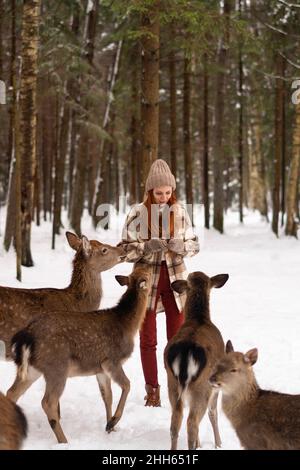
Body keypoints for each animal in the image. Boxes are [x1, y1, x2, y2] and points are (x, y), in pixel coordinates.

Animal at [7, 264, 151, 444]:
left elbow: (107, 396)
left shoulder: (100, 369)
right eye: (147, 274)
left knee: (12, 393)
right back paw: (64, 440)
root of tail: (27, 335)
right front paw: (113, 422)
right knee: (48, 402)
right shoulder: (111, 360)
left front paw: (110, 428)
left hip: (32, 369)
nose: (147, 266)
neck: (128, 326)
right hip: (57, 366)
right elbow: (127, 385)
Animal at [163, 274, 229, 450]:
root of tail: (186, 352)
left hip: (172, 382)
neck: (199, 318)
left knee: (176, 420)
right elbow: (213, 413)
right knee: (192, 422)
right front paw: (219, 444)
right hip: (202, 385)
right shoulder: (216, 385)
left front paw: (202, 443)